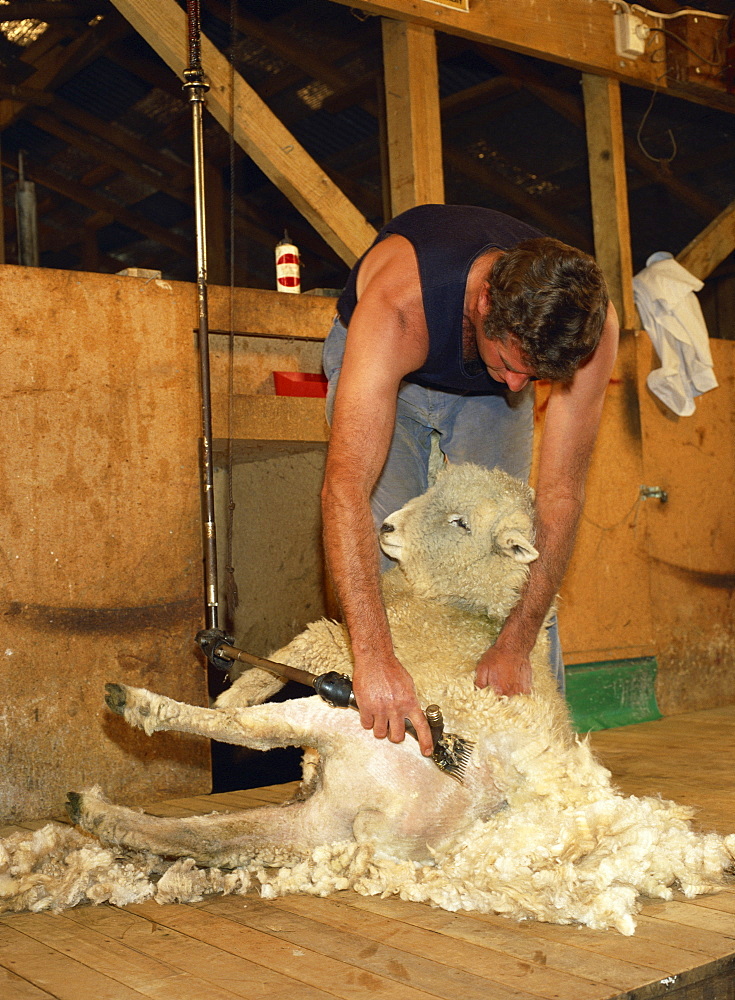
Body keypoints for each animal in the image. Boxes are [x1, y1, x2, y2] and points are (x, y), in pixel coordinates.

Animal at [2, 464, 732, 932]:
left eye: (459, 521)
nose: (386, 527)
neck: (455, 606)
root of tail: (361, 813)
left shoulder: (347, 647)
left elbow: (296, 652)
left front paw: (233, 683)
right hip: (301, 822)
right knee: (202, 835)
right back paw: (99, 811)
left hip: (335, 723)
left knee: (249, 734)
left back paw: (142, 707)